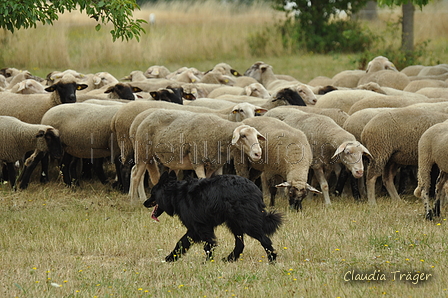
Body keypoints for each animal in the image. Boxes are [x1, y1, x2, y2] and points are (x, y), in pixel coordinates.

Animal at [128, 108, 264, 201]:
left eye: (256, 136)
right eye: (243, 136)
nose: (258, 153)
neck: (217, 133)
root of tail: (147, 116)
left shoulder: (216, 164)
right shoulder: (197, 160)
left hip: (157, 158)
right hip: (142, 152)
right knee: (135, 176)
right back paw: (134, 201)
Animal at [144, 171, 284, 262]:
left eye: (152, 194)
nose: (144, 203)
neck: (174, 193)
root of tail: (256, 190)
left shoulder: (199, 226)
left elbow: (207, 243)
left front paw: (207, 261)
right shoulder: (196, 228)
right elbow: (182, 242)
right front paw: (170, 258)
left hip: (246, 221)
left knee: (264, 239)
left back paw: (272, 259)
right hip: (235, 222)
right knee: (240, 243)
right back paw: (230, 259)